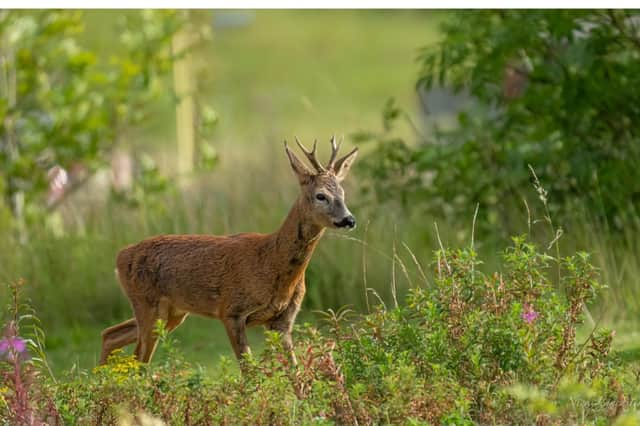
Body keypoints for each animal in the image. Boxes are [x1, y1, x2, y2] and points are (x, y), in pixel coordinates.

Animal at [102, 138, 358, 364]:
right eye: (321, 196)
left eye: (343, 194)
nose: (349, 219)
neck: (272, 262)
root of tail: (120, 256)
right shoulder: (231, 311)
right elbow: (249, 370)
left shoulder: (282, 320)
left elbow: (294, 370)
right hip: (148, 305)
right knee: (138, 359)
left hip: (173, 312)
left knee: (111, 335)